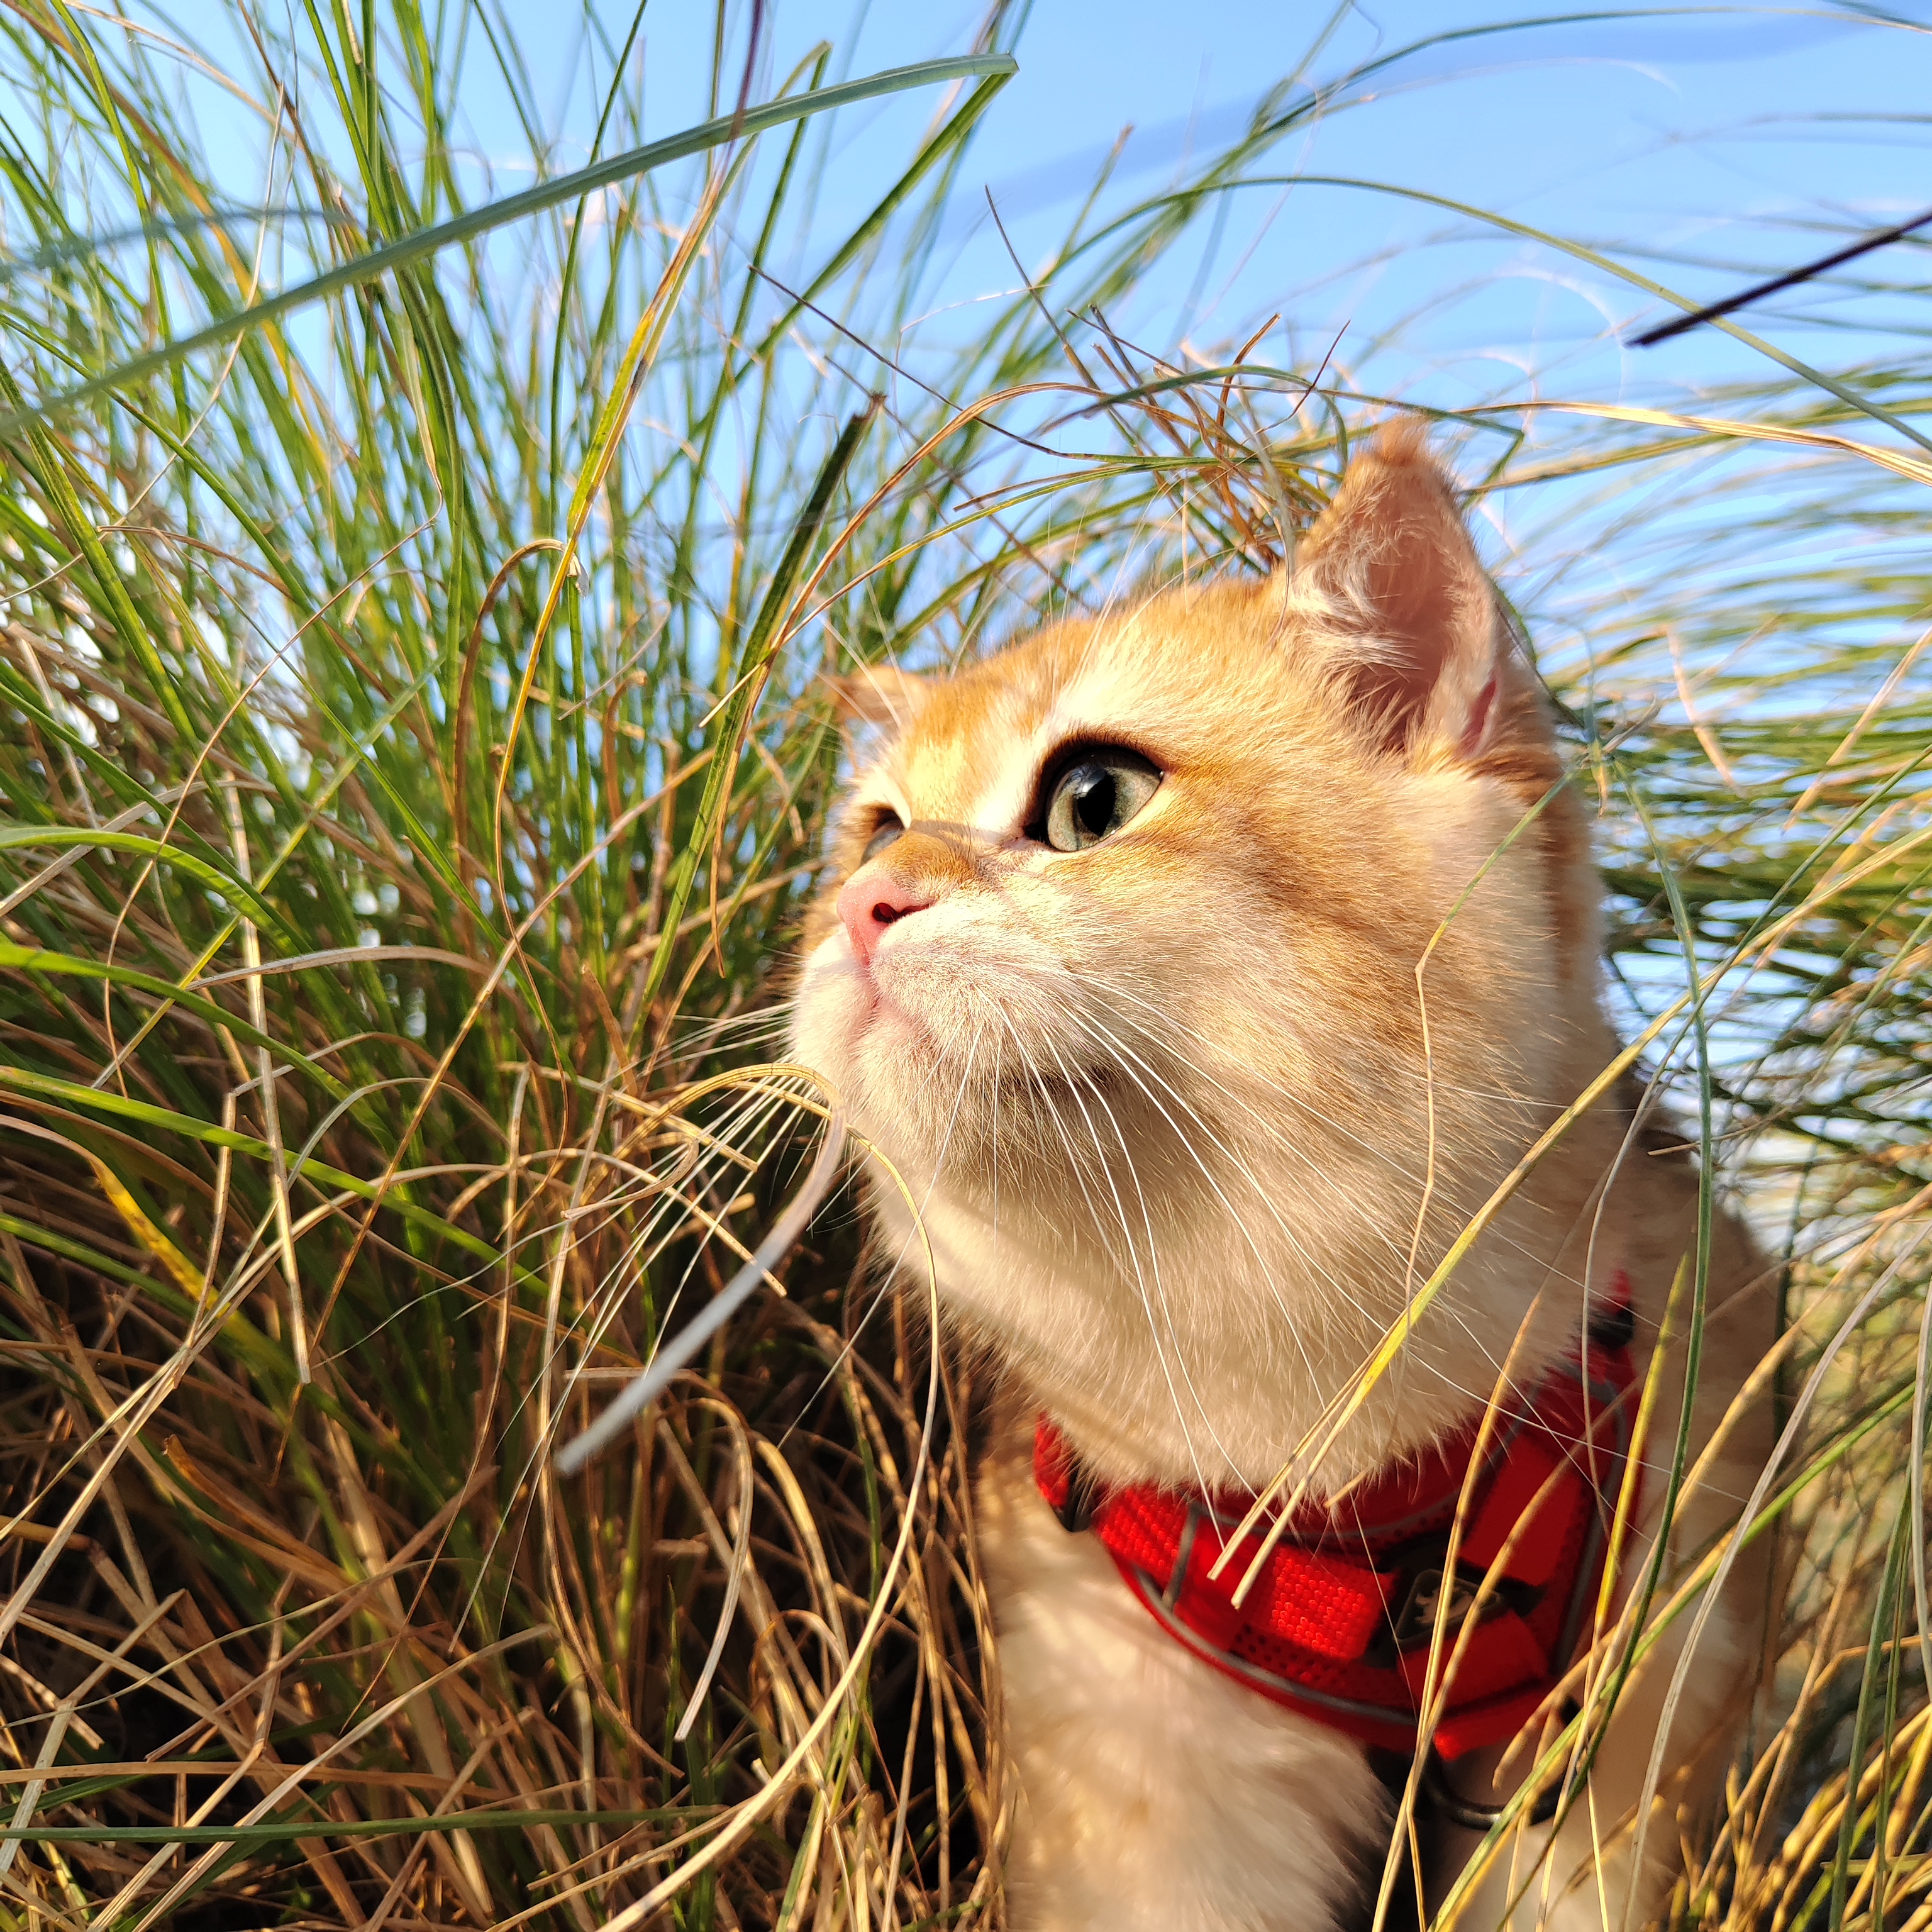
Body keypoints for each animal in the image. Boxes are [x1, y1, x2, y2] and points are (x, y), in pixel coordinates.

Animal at [788, 423, 1777, 1932]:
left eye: (1093, 798)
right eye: (872, 830)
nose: (861, 902)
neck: (1330, 1461)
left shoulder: (1619, 1753)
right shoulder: (1139, 1791)